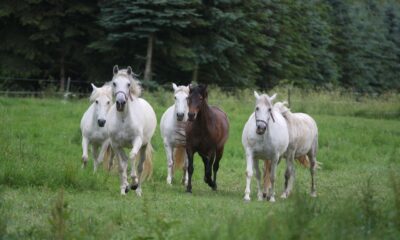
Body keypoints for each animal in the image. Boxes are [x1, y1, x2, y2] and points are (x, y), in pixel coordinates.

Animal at [106, 64, 156, 196]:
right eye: (114, 83)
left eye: (128, 84)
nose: (120, 103)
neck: (123, 119)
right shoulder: (116, 144)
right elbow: (121, 166)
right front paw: (124, 188)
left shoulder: (137, 141)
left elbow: (133, 156)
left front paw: (133, 183)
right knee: (124, 161)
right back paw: (125, 187)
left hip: (144, 145)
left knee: (140, 166)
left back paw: (138, 190)